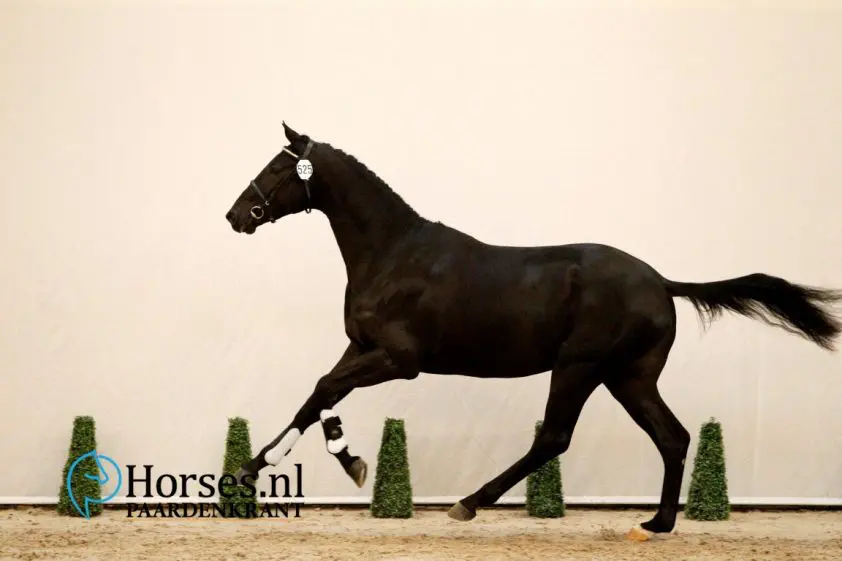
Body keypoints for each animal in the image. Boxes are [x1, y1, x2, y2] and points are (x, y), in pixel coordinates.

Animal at [224, 122, 841, 537]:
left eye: (278, 168)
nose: (235, 215)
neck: (395, 254)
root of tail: (662, 283)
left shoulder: (401, 359)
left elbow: (326, 388)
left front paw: (325, 462)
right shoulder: (362, 346)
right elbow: (319, 395)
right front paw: (259, 470)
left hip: (579, 366)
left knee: (556, 437)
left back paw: (470, 502)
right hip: (628, 376)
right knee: (673, 437)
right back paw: (658, 523)